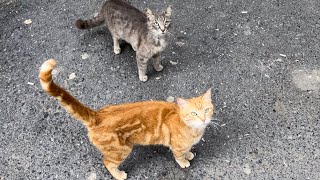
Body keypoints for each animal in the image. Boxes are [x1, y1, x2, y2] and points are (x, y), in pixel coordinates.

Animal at [39, 59, 215, 180]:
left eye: (207, 110)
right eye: (193, 113)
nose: (203, 119)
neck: (195, 130)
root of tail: (97, 115)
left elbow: (187, 150)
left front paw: (189, 154)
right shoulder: (176, 146)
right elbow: (179, 155)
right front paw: (184, 161)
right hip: (120, 150)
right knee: (107, 162)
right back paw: (119, 175)